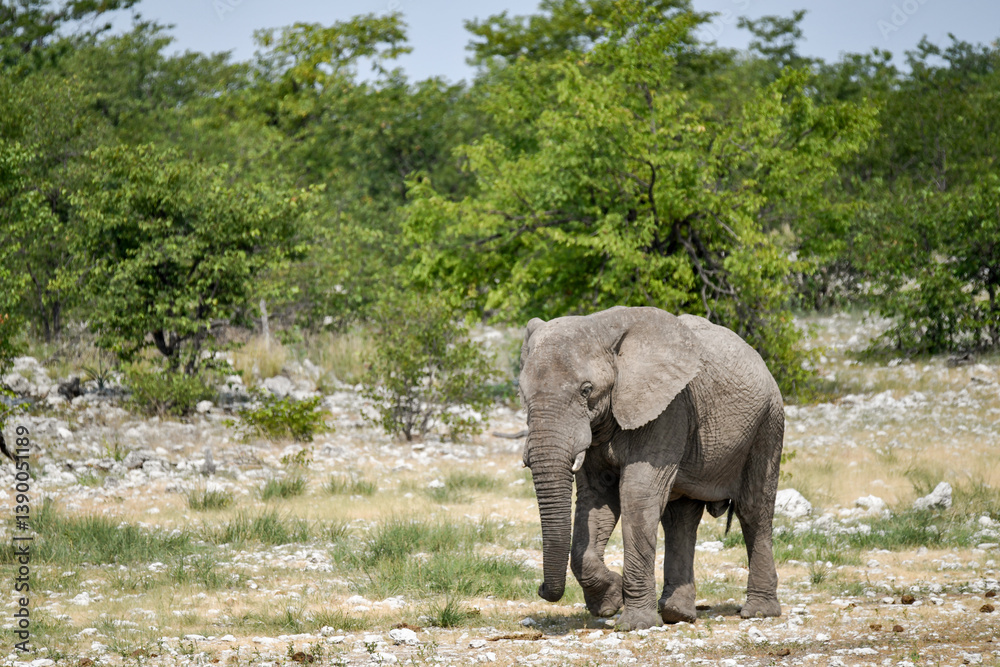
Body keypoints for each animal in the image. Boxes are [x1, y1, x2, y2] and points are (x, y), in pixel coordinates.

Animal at [518, 306, 784, 630]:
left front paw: (635, 623)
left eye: (586, 390)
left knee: (753, 509)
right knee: (680, 518)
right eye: (523, 394)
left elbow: (637, 494)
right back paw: (677, 614)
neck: (603, 327)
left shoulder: (669, 408)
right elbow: (596, 498)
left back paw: (758, 612)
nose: (542, 589)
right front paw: (609, 602)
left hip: (768, 422)